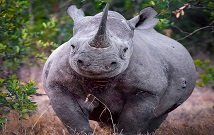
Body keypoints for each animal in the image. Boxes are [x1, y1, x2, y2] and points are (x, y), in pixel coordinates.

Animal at [42, 3, 196, 135]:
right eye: (72, 46)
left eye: (125, 50)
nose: (96, 64)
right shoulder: (58, 85)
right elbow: (75, 122)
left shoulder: (147, 90)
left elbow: (131, 123)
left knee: (159, 115)